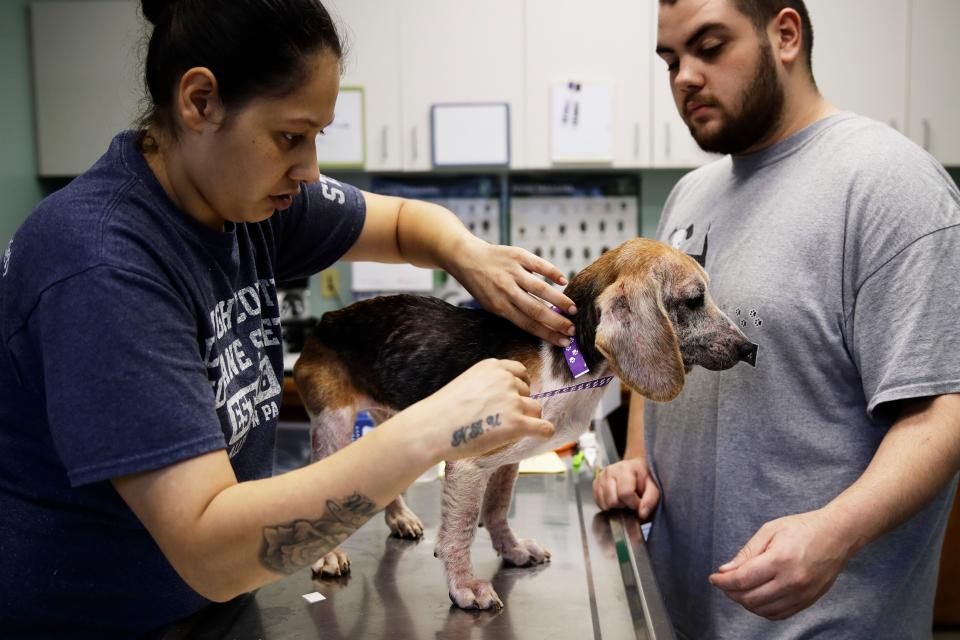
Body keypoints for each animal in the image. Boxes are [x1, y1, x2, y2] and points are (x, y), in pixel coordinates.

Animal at [292, 238, 756, 608]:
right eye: (694, 299)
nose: (749, 348)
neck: (568, 358)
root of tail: (328, 319)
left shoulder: (507, 461)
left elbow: (497, 510)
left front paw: (512, 550)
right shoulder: (467, 464)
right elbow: (460, 532)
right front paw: (464, 587)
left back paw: (400, 518)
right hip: (333, 426)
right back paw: (325, 553)